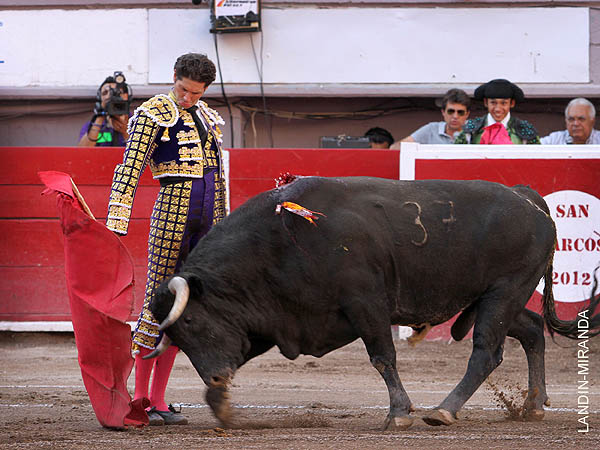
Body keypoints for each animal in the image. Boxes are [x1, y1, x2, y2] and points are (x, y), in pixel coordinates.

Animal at [149, 176, 600, 428]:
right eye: (177, 341)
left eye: (190, 324)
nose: (215, 378)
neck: (281, 240)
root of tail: (529, 199)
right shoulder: (272, 320)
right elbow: (241, 351)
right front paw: (221, 406)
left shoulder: (365, 303)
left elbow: (383, 357)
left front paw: (399, 413)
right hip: (497, 297)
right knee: (531, 332)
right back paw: (533, 406)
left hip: (504, 292)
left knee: (486, 352)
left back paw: (444, 411)